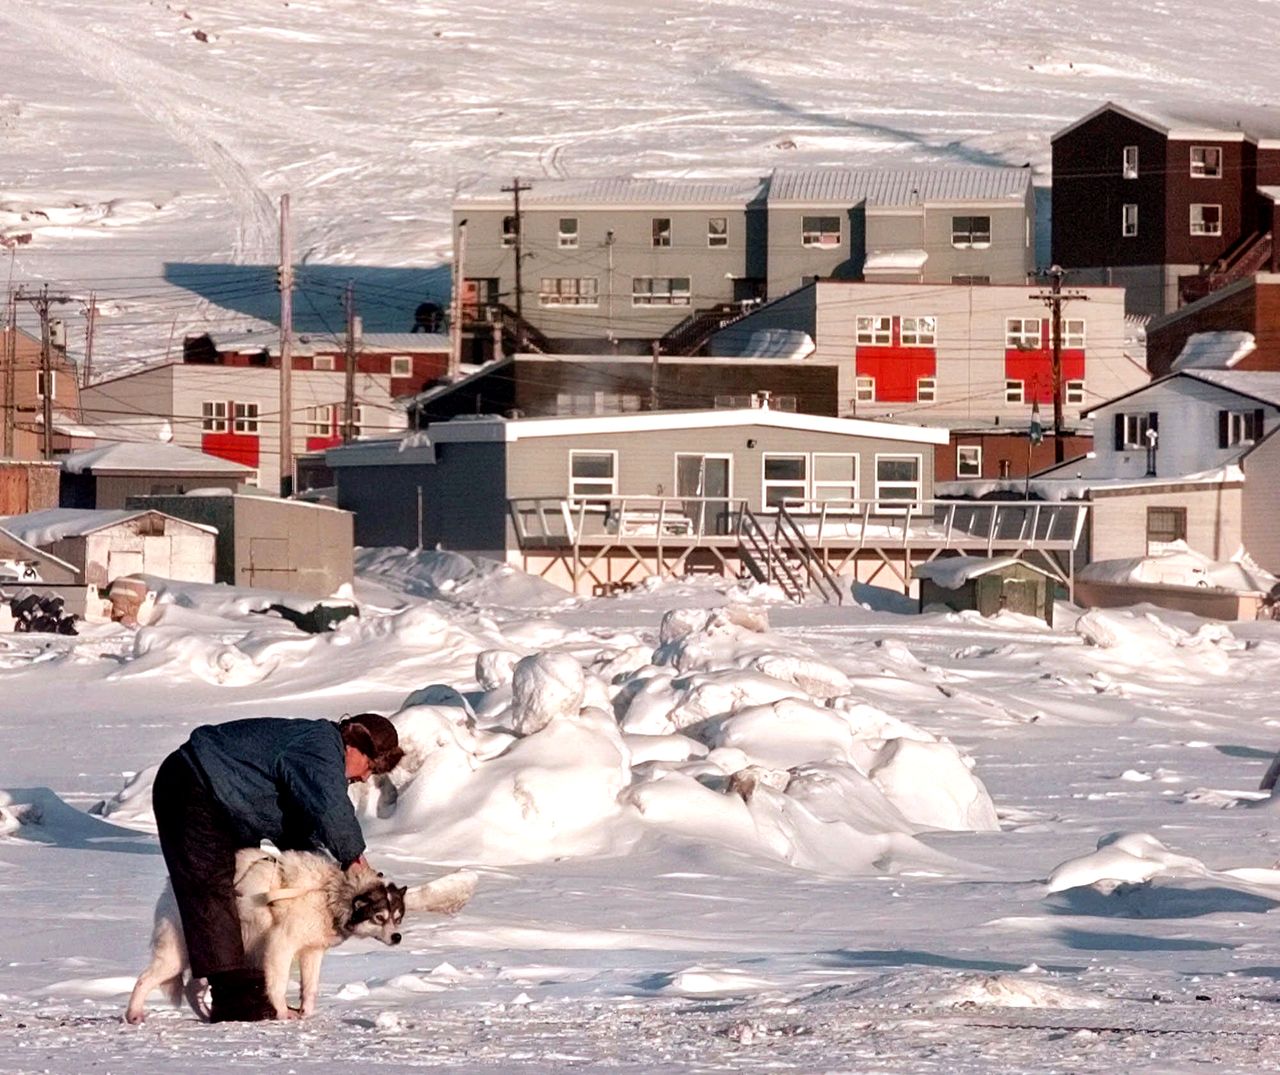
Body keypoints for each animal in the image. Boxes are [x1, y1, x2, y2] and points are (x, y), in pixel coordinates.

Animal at [126, 849, 476, 1023]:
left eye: (398, 917)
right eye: (380, 917)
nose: (397, 937)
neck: (332, 895)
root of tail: (170, 890)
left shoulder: (311, 952)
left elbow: (310, 988)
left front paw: (306, 1012)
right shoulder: (281, 948)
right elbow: (278, 985)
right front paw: (283, 1013)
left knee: (192, 987)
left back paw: (208, 1014)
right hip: (177, 954)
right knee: (145, 980)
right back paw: (133, 1013)